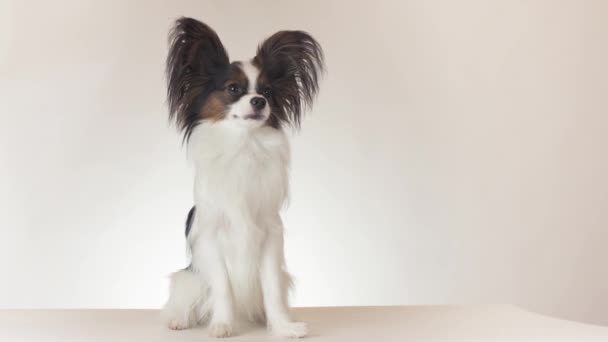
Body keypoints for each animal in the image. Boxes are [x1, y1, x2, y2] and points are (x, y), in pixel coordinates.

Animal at [160, 17, 324, 338]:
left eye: (268, 92)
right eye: (233, 88)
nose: (259, 101)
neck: (244, 145)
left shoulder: (270, 235)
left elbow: (271, 288)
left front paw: (283, 327)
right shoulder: (211, 237)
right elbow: (223, 286)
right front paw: (223, 325)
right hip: (190, 278)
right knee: (185, 298)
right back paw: (179, 320)